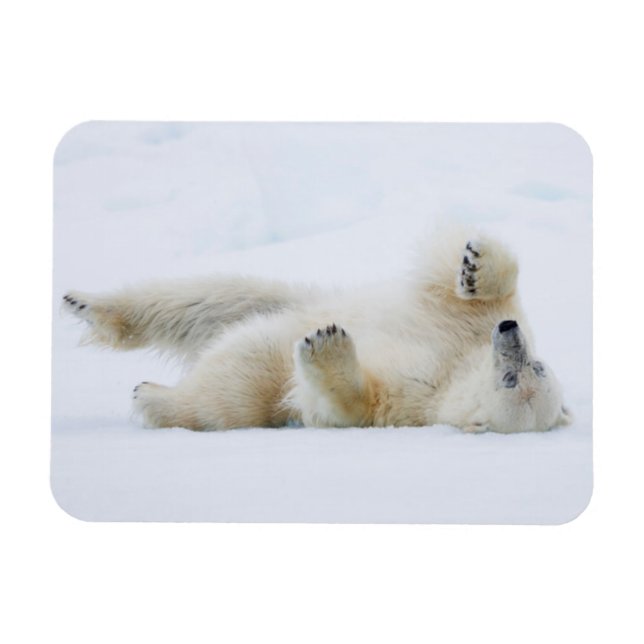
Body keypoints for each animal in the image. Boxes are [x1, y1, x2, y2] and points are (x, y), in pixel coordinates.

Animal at [62, 229, 571, 433]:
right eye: (537, 365)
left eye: (517, 378)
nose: (508, 336)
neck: (457, 369)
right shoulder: (463, 325)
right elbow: (474, 293)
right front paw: (475, 265)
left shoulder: (413, 399)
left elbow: (348, 404)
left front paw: (326, 345)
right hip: (283, 296)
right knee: (206, 298)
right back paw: (85, 304)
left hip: (256, 374)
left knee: (230, 392)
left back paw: (152, 395)